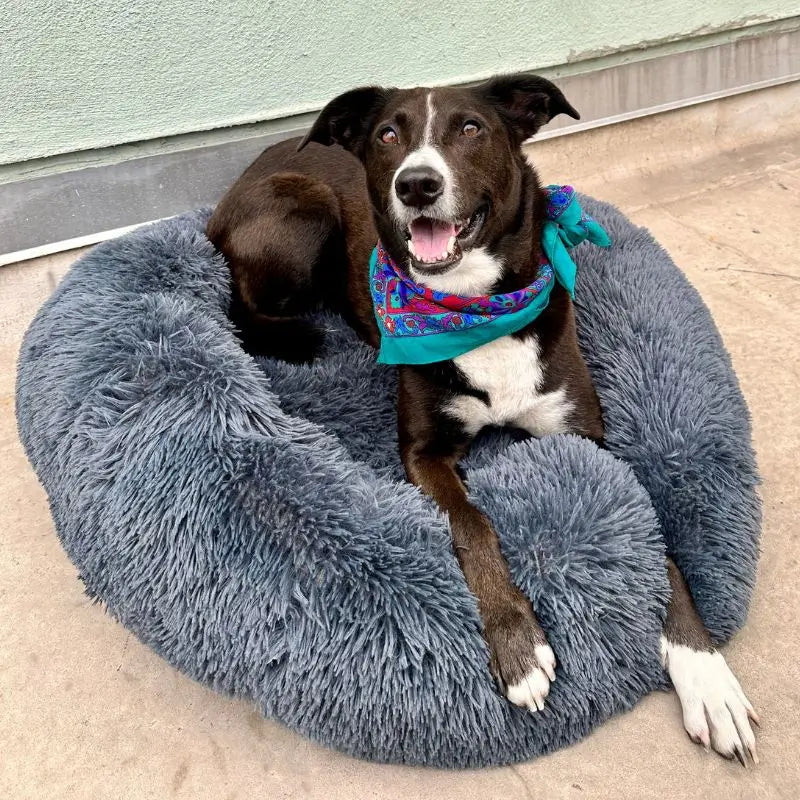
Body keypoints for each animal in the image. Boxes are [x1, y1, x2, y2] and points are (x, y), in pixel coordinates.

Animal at [206, 73, 756, 764]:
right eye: (388, 134)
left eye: (471, 128)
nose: (416, 184)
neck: (474, 308)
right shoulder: (423, 453)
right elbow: (472, 523)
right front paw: (519, 645)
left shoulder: (587, 439)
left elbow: (662, 546)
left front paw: (706, 674)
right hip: (304, 206)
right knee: (238, 305)